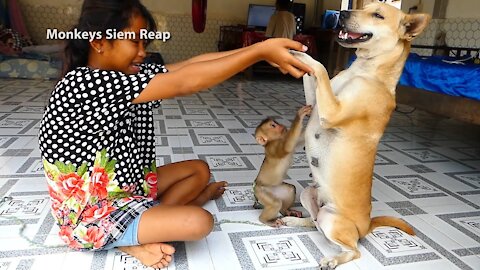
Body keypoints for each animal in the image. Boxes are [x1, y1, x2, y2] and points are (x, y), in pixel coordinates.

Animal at [282, 2, 432, 270]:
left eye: (378, 14)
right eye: (366, 6)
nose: (342, 13)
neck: (365, 70)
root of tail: (366, 226)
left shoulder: (331, 111)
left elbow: (320, 67)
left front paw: (304, 54)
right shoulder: (315, 103)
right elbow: (312, 73)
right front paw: (297, 46)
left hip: (332, 220)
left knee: (353, 250)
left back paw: (332, 260)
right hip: (309, 194)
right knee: (314, 222)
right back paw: (296, 222)